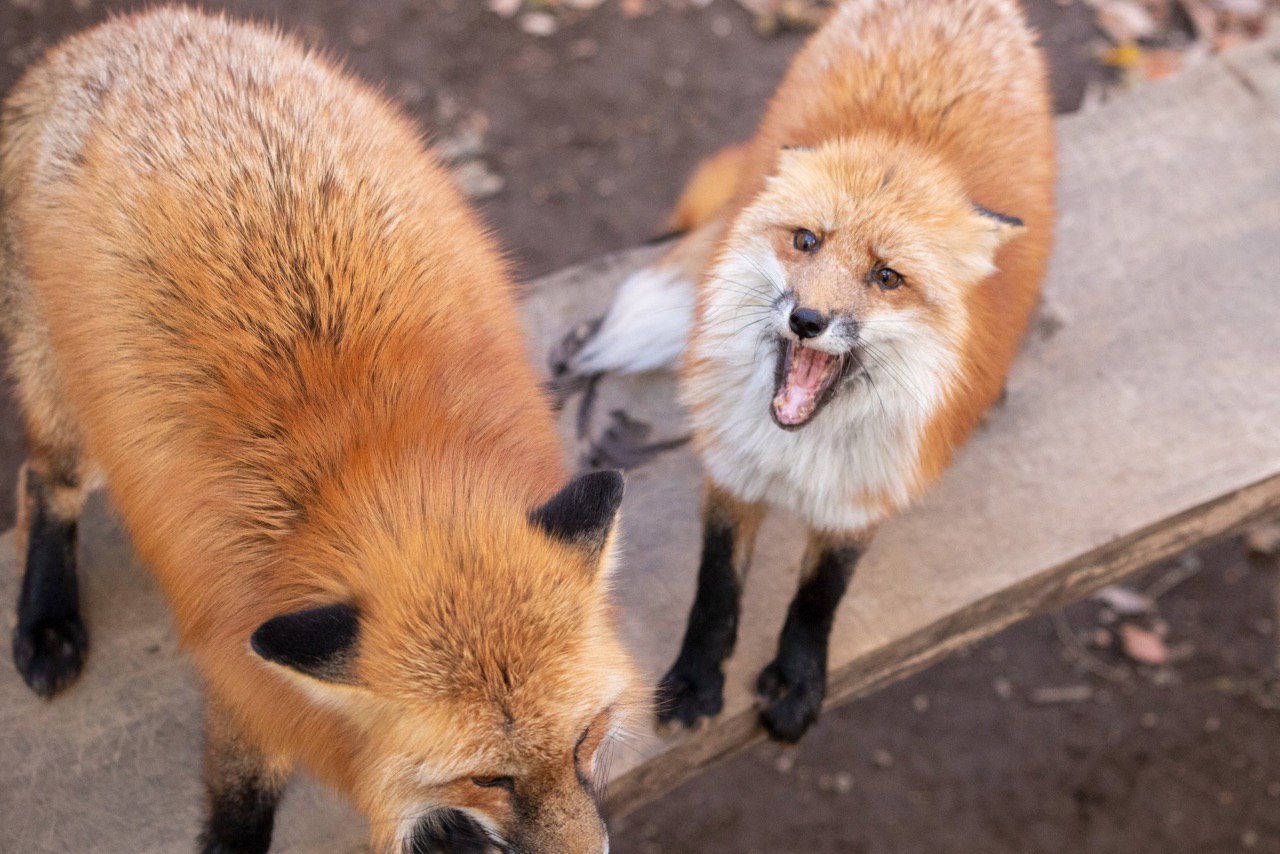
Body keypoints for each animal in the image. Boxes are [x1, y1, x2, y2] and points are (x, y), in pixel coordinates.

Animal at [1, 8, 642, 852]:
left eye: (583, 739)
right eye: (489, 779)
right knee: (42, 479)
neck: (390, 471)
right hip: (70, 406)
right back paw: (46, 619)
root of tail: (129, 27)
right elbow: (240, 807)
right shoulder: (244, 676)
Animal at [555, 0, 1054, 743]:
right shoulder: (734, 464)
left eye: (887, 277)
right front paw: (696, 679)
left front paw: (797, 681)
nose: (807, 320)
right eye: (806, 241)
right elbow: (715, 585)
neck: (802, 446)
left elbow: (820, 594)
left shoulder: (866, 487)